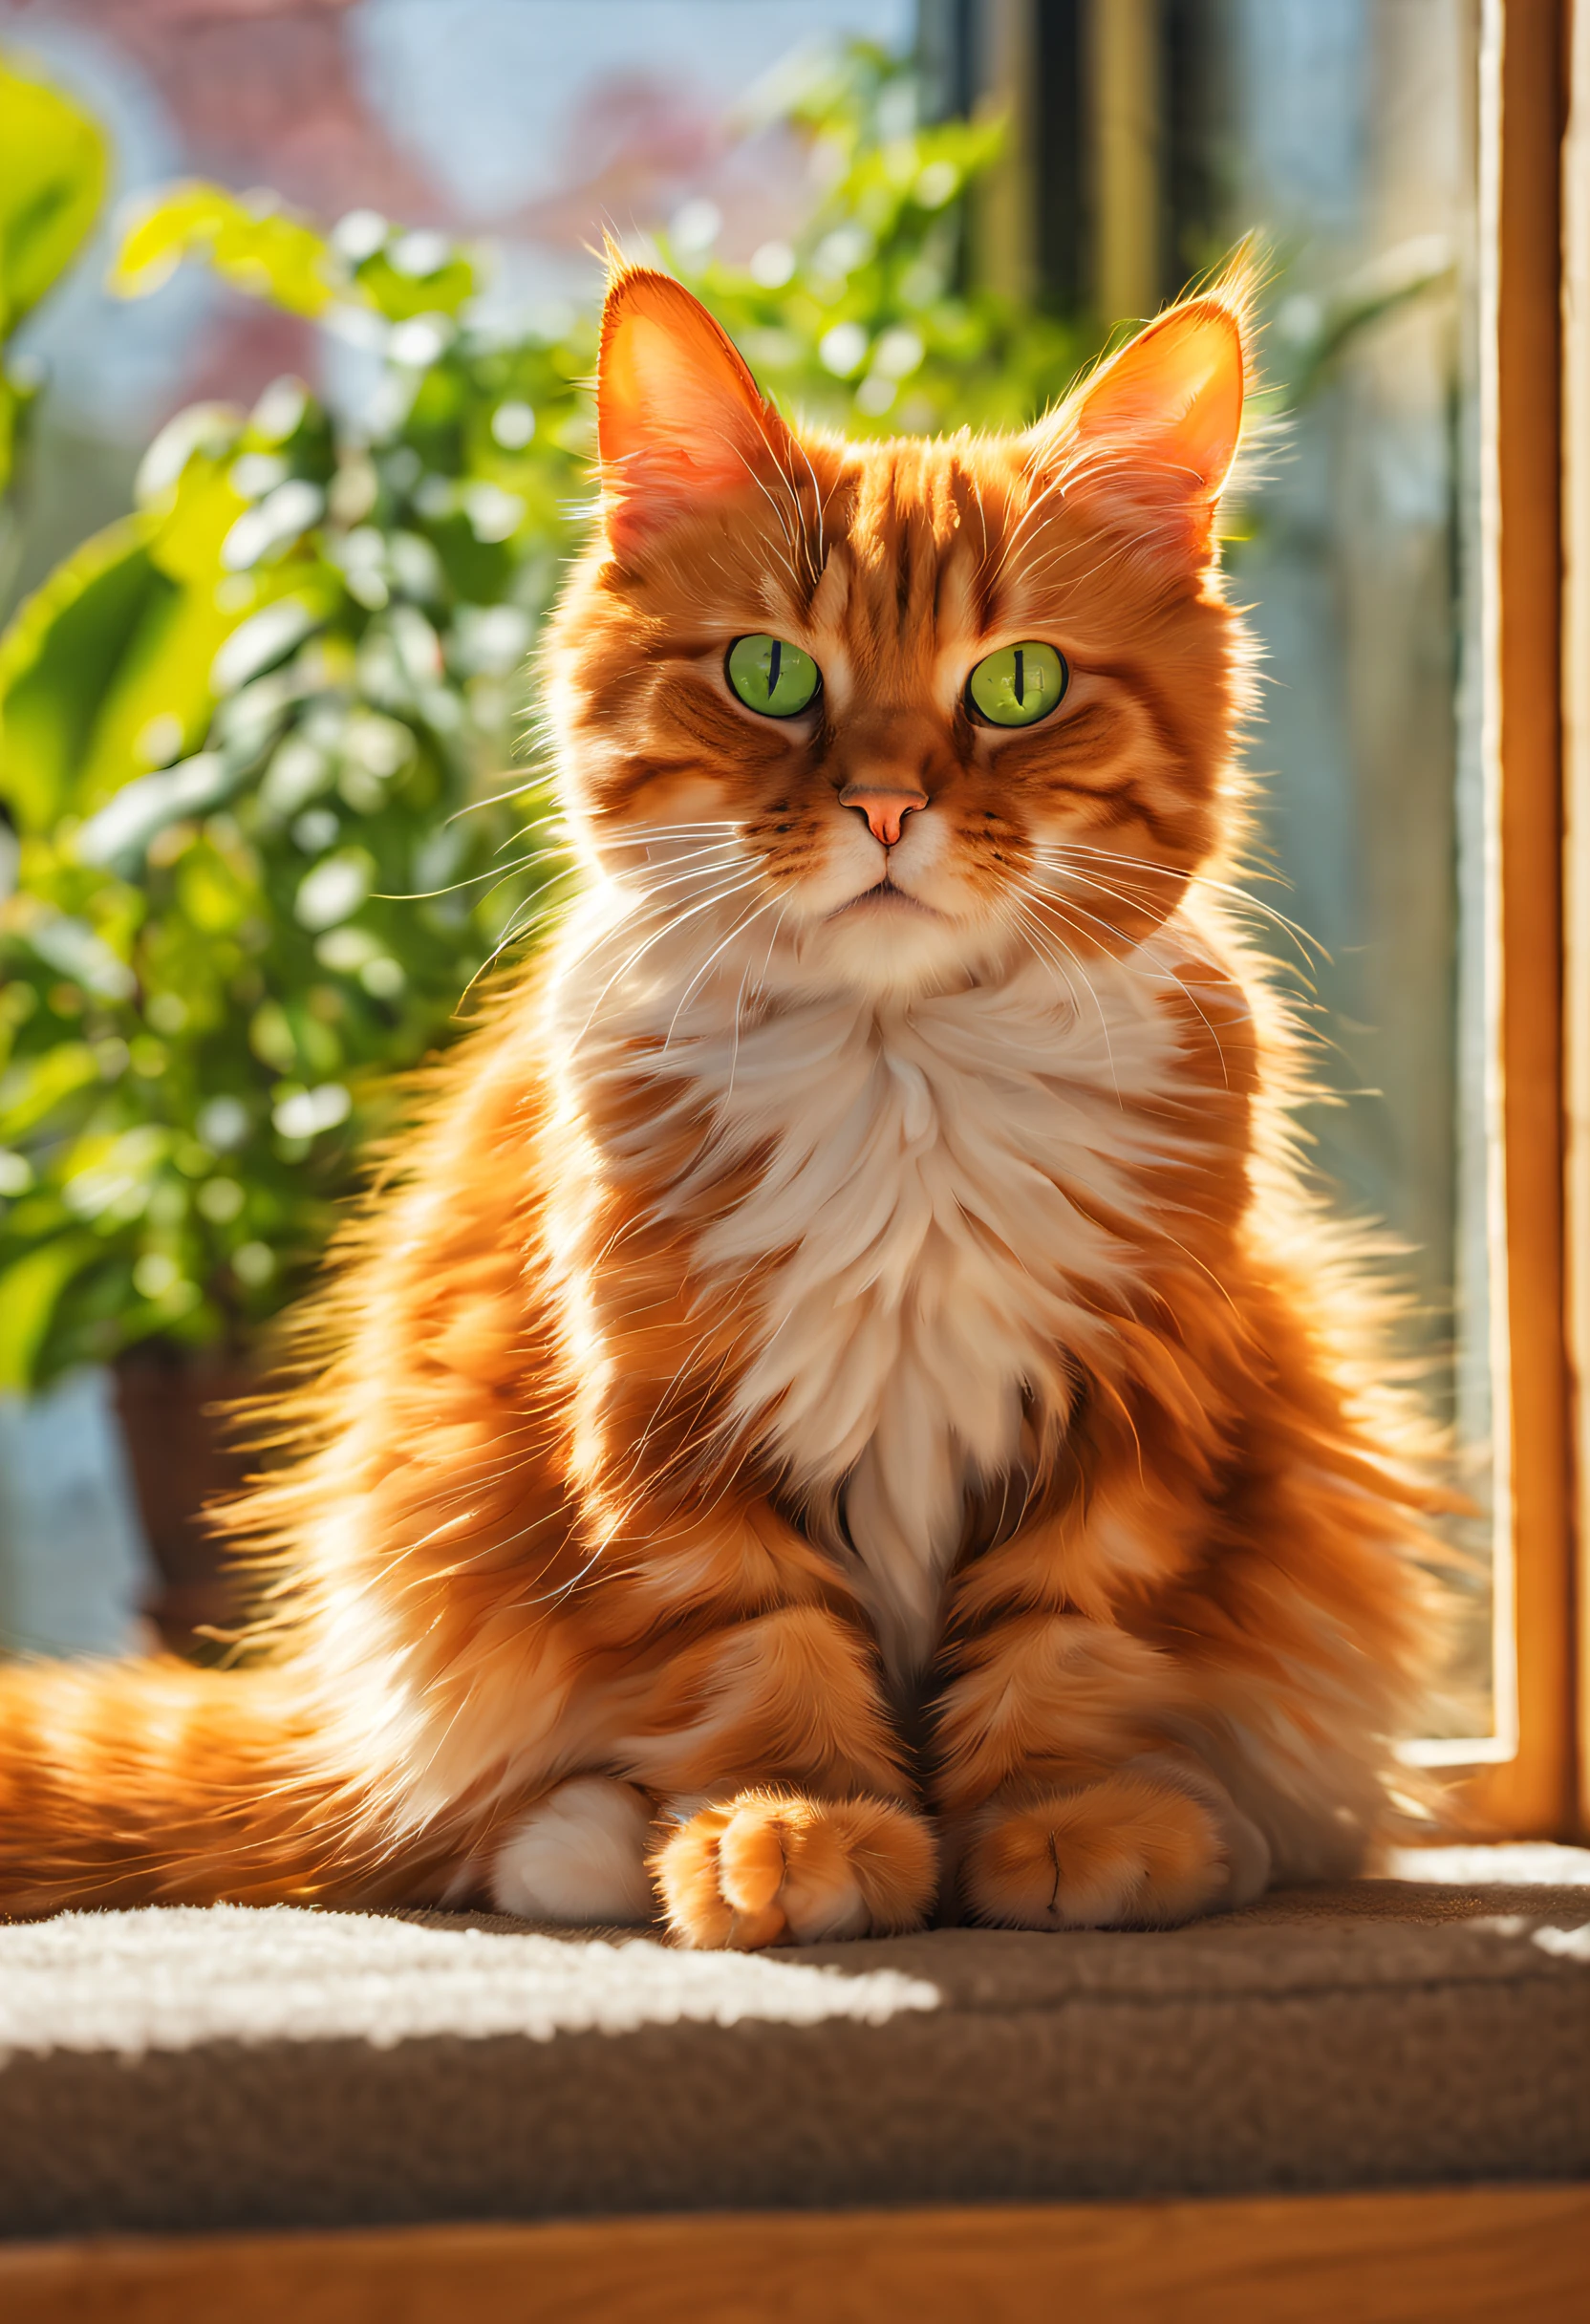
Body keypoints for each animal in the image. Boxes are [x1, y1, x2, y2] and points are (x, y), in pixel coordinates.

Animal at [3, 264, 1441, 1943]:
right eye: (772, 674)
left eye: (1017, 686)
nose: (886, 803)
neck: (900, 1081)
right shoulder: (668, 1413)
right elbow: (760, 1640)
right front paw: (798, 1828)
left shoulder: (1125, 1411)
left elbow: (1066, 1628)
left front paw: (1065, 1821)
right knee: (448, 1811)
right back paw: (585, 1844)